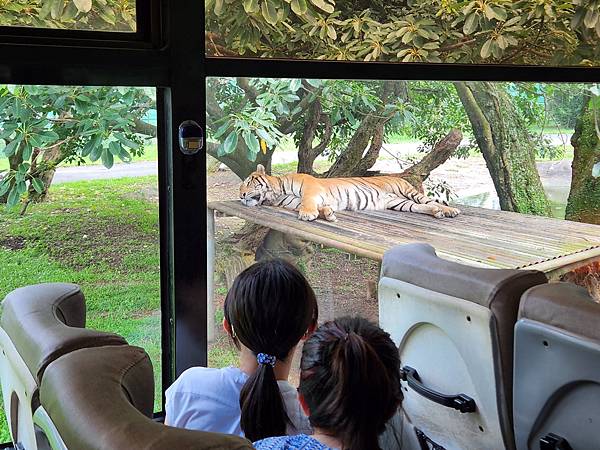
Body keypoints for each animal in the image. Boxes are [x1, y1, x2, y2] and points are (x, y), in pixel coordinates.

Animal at [239, 164, 460, 222]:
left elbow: (308, 201)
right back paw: (437, 213)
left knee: (430, 200)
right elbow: (321, 208)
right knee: (422, 207)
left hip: (406, 191)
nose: (241, 195)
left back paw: (450, 211)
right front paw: (328, 214)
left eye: (248, 183)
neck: (276, 195)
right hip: (400, 203)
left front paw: (308, 214)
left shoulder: (311, 188)